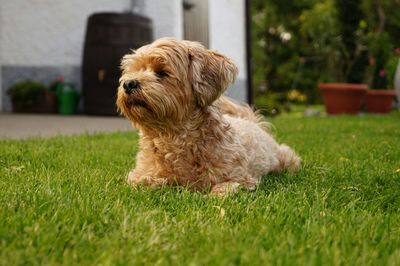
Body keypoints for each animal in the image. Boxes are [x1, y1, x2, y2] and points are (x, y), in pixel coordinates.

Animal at [115, 37, 300, 195]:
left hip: (284, 158)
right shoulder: (139, 173)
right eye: (133, 70)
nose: (129, 83)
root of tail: (250, 121)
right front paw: (158, 182)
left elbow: (224, 188)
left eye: (161, 73)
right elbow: (144, 181)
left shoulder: (242, 177)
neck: (173, 136)